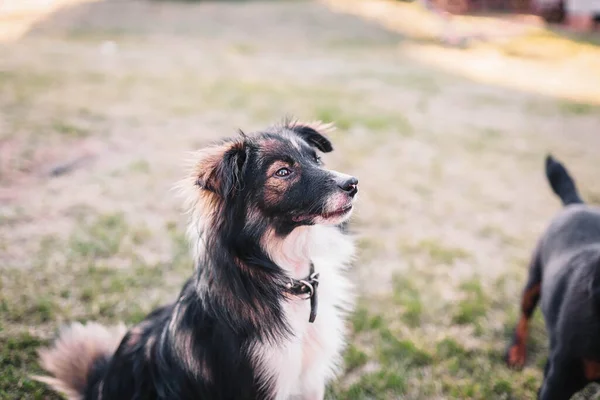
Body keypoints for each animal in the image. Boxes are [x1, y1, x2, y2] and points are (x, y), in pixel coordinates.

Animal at [36, 121, 360, 400]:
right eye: (282, 172)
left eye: (316, 159)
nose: (353, 183)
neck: (283, 277)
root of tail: (99, 383)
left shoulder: (310, 381)